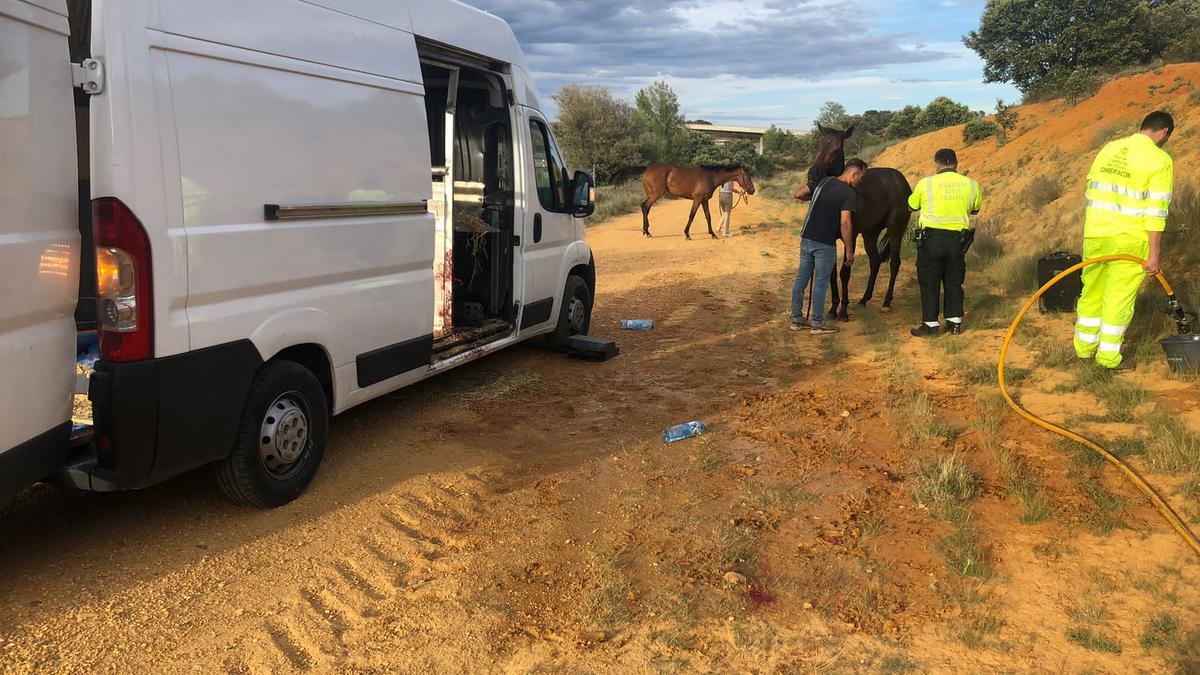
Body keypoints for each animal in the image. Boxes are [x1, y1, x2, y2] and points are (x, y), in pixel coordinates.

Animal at [796, 124, 907, 319]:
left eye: (836, 149)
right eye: (819, 145)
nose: (813, 175)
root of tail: (903, 182)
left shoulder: (852, 236)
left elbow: (844, 272)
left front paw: (843, 311)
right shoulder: (829, 239)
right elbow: (831, 272)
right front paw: (833, 308)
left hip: (895, 230)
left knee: (894, 263)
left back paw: (886, 302)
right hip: (870, 233)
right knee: (875, 261)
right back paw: (864, 299)